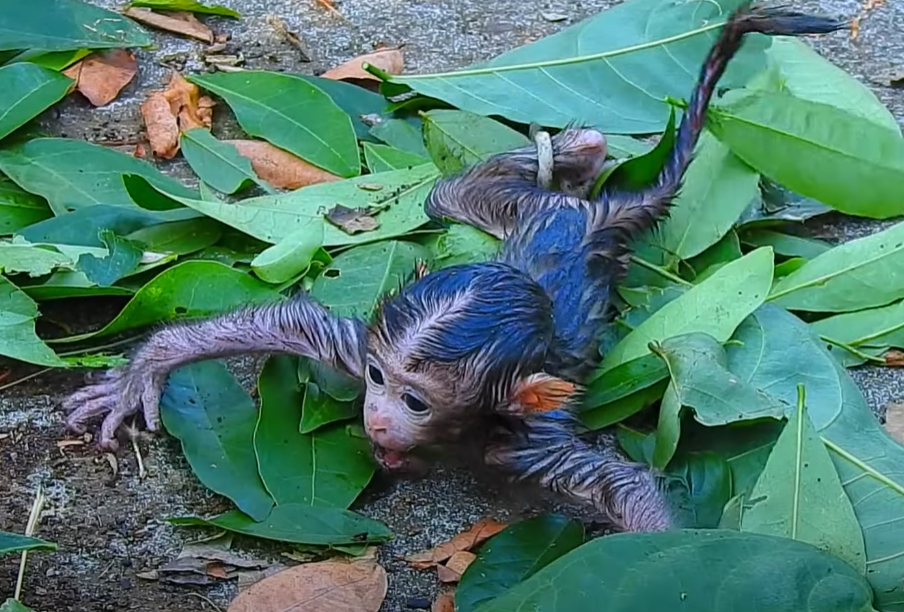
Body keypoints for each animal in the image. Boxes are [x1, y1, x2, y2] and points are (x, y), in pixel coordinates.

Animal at [62, 4, 844, 533]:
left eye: (415, 401)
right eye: (378, 381)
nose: (375, 418)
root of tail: (584, 218)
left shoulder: (529, 448)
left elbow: (625, 492)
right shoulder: (354, 347)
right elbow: (292, 319)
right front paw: (142, 373)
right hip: (516, 206)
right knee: (449, 196)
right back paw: (583, 149)